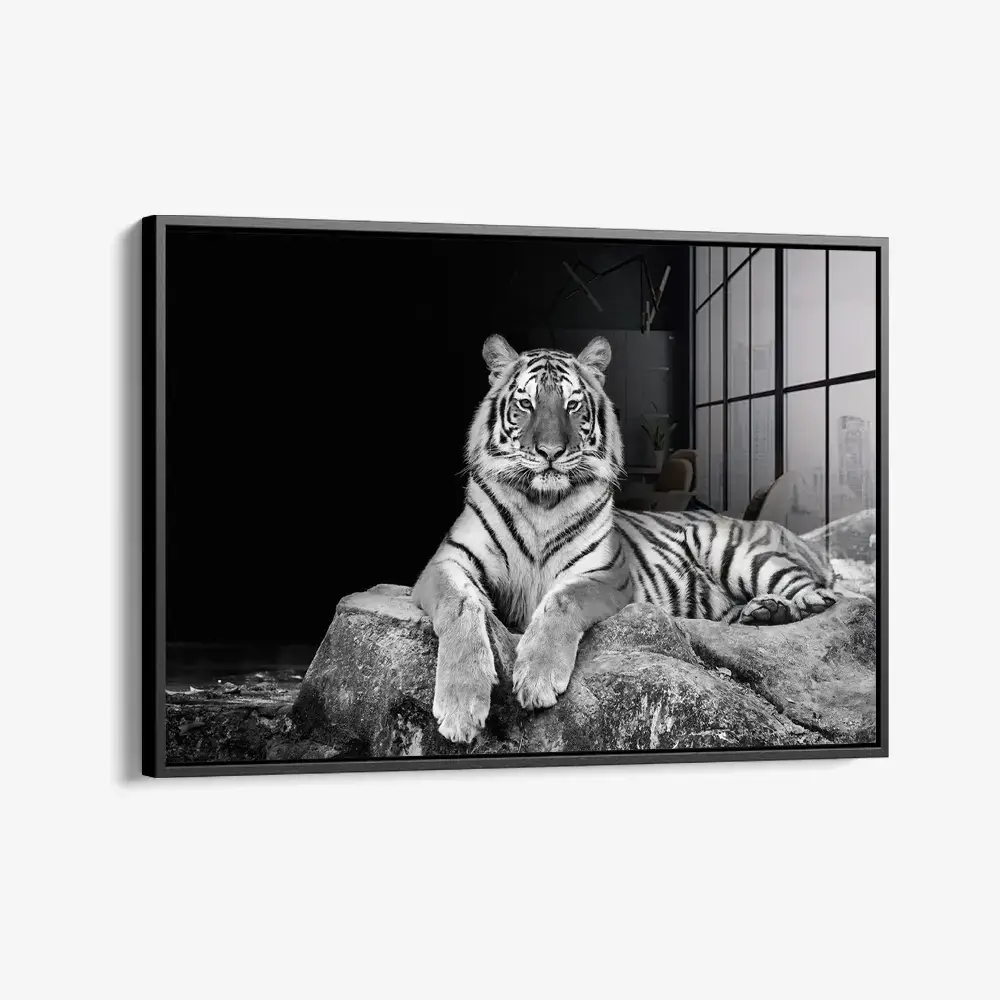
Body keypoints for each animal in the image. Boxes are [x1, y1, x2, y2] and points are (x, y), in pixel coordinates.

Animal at [413, 334, 838, 744]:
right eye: (525, 404)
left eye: (572, 405)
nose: (550, 451)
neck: (541, 503)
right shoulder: (447, 562)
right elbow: (459, 606)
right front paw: (460, 706)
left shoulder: (606, 573)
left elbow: (563, 600)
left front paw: (536, 677)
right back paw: (763, 612)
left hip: (736, 552)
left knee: (816, 592)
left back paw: (793, 604)